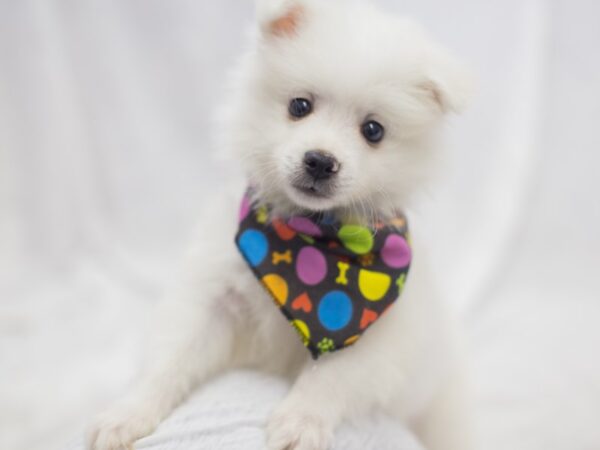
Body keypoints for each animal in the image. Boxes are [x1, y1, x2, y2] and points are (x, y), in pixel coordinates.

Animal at [90, 0, 474, 450]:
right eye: (299, 106)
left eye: (373, 130)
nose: (320, 161)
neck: (312, 240)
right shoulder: (213, 294)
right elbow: (171, 357)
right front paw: (127, 414)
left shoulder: (380, 336)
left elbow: (331, 377)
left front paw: (300, 422)